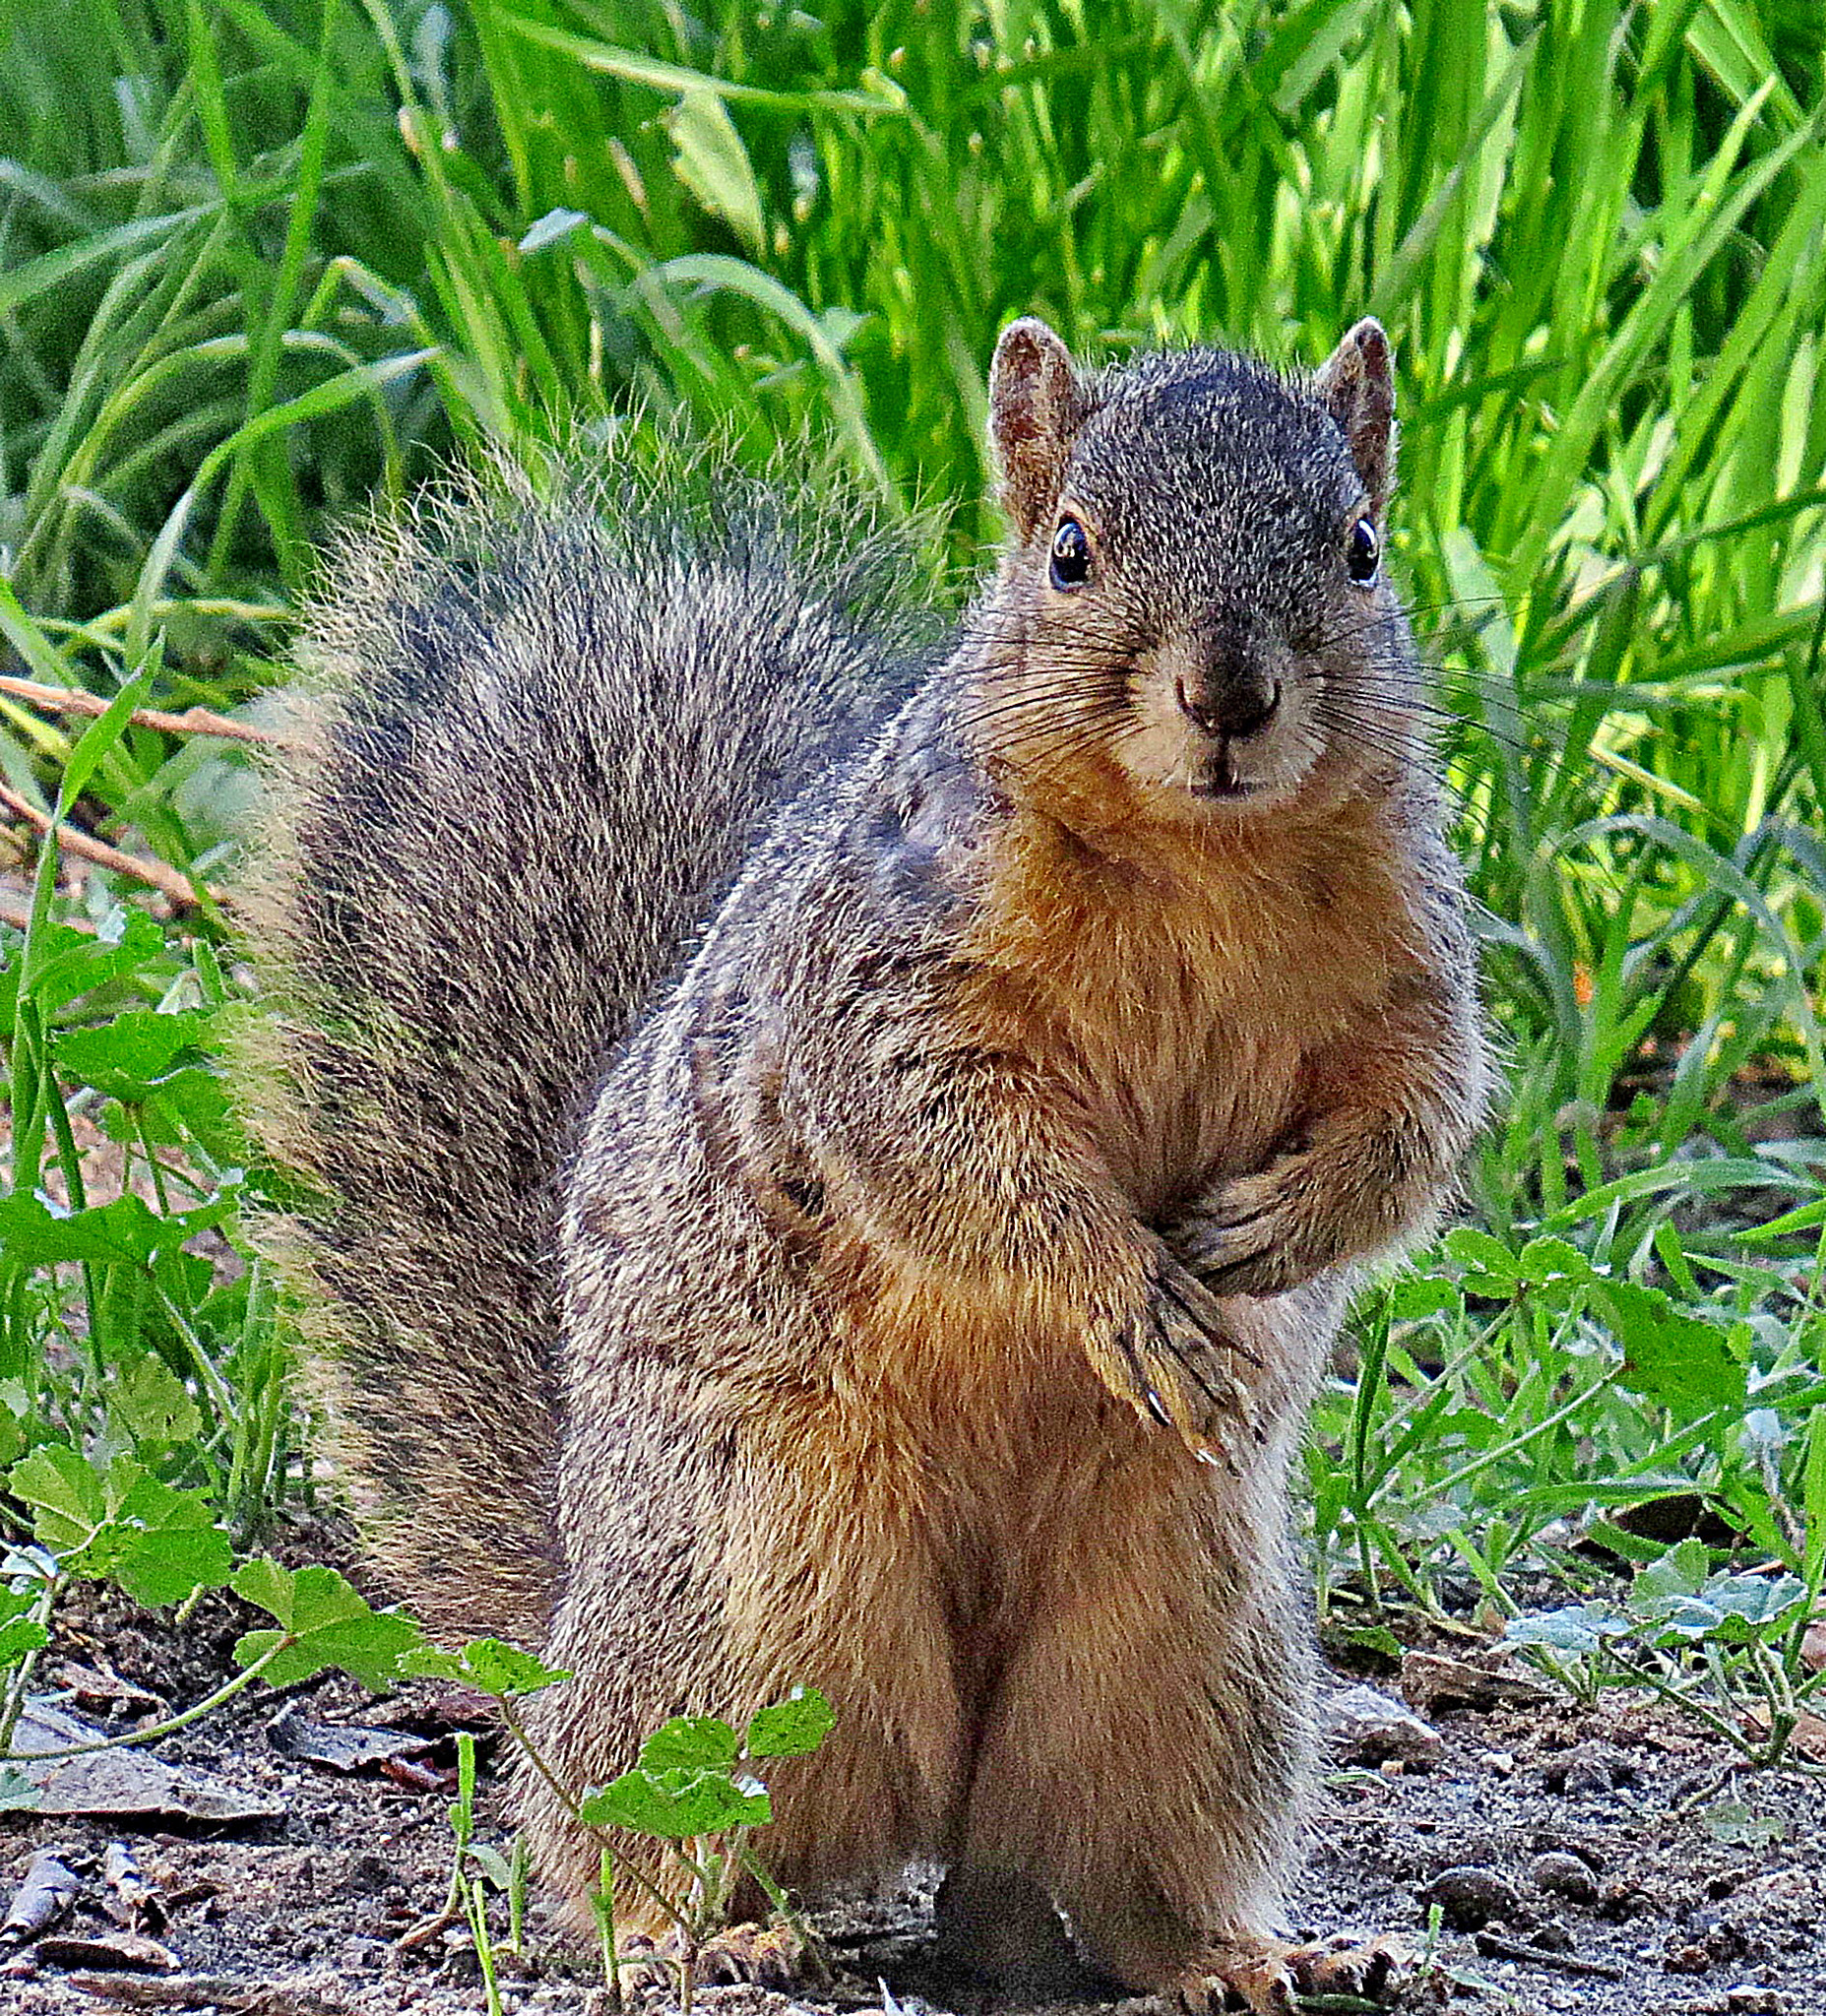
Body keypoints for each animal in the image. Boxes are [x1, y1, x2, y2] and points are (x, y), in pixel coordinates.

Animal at [234, 318, 1491, 2016]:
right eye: (1068, 551)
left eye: (1358, 551)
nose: (1226, 694)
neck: (1202, 860)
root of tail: (562, 1608)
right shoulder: (885, 986)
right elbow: (953, 1150)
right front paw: (1126, 1288)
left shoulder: (1411, 973)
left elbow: (1411, 1122)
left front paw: (1268, 1233)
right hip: (749, 1608)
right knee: (632, 1835)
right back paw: (706, 1938)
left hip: (1183, 1648)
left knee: (1104, 1861)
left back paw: (1232, 1955)